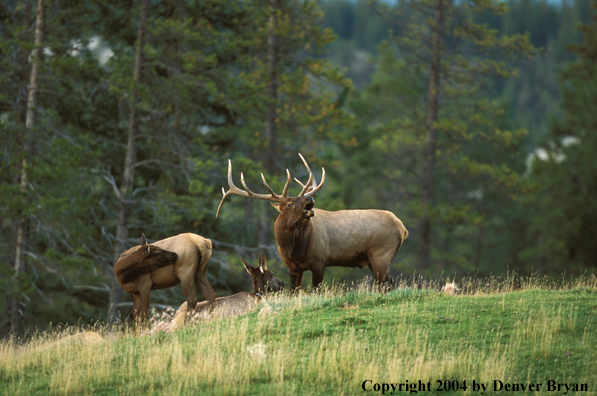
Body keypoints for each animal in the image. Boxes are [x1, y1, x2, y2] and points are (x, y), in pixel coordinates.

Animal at [213, 153, 406, 292]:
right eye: (290, 203)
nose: (309, 197)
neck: (295, 250)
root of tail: (402, 228)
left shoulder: (320, 261)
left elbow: (316, 291)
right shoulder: (293, 267)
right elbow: (294, 292)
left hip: (381, 254)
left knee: (387, 285)